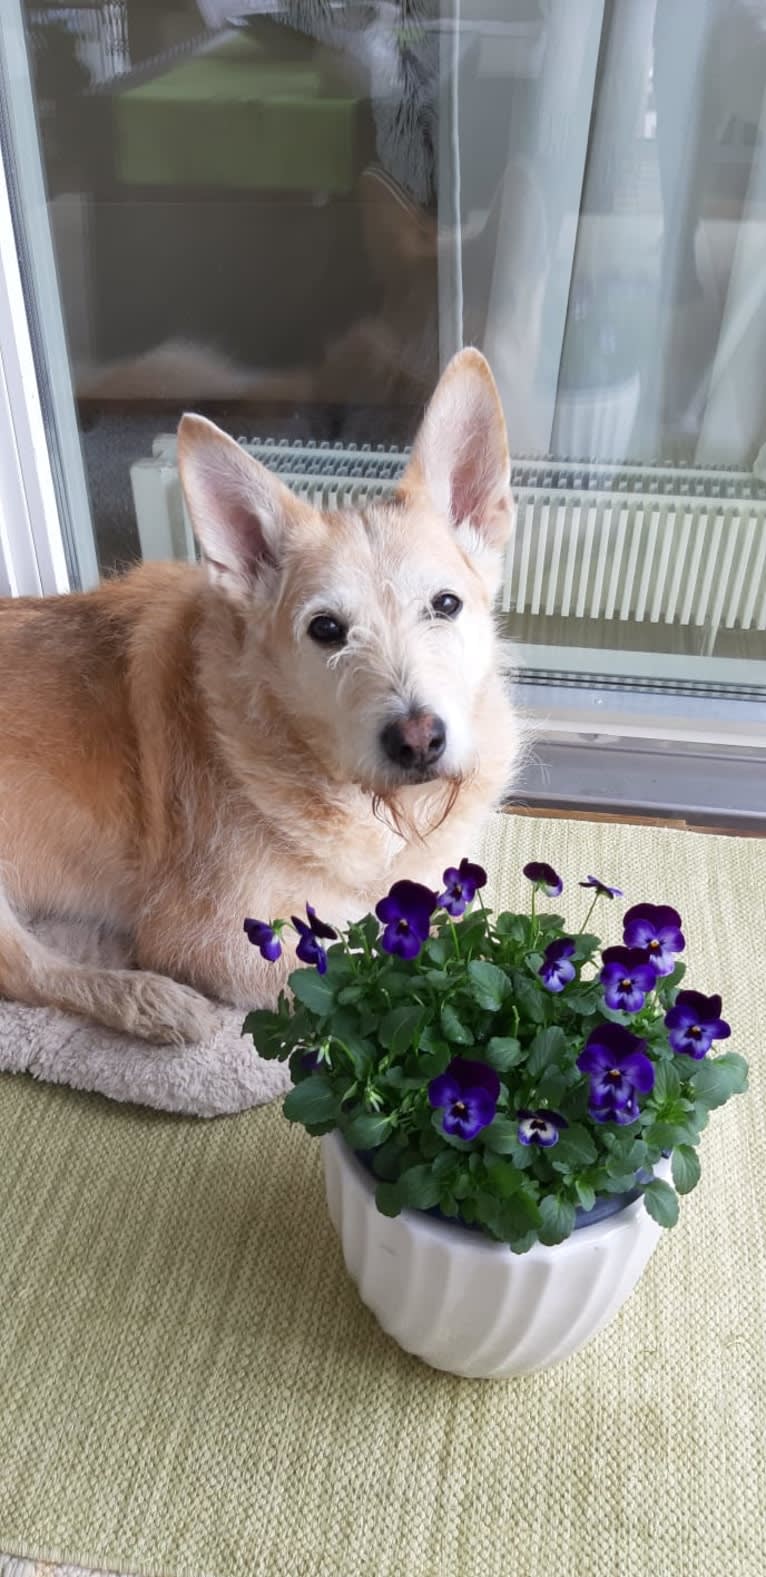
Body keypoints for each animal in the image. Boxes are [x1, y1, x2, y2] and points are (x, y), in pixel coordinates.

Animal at [0, 350, 520, 1040]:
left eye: (446, 605)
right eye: (325, 629)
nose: (418, 741)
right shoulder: (206, 937)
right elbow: (366, 983)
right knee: (25, 969)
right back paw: (149, 1001)